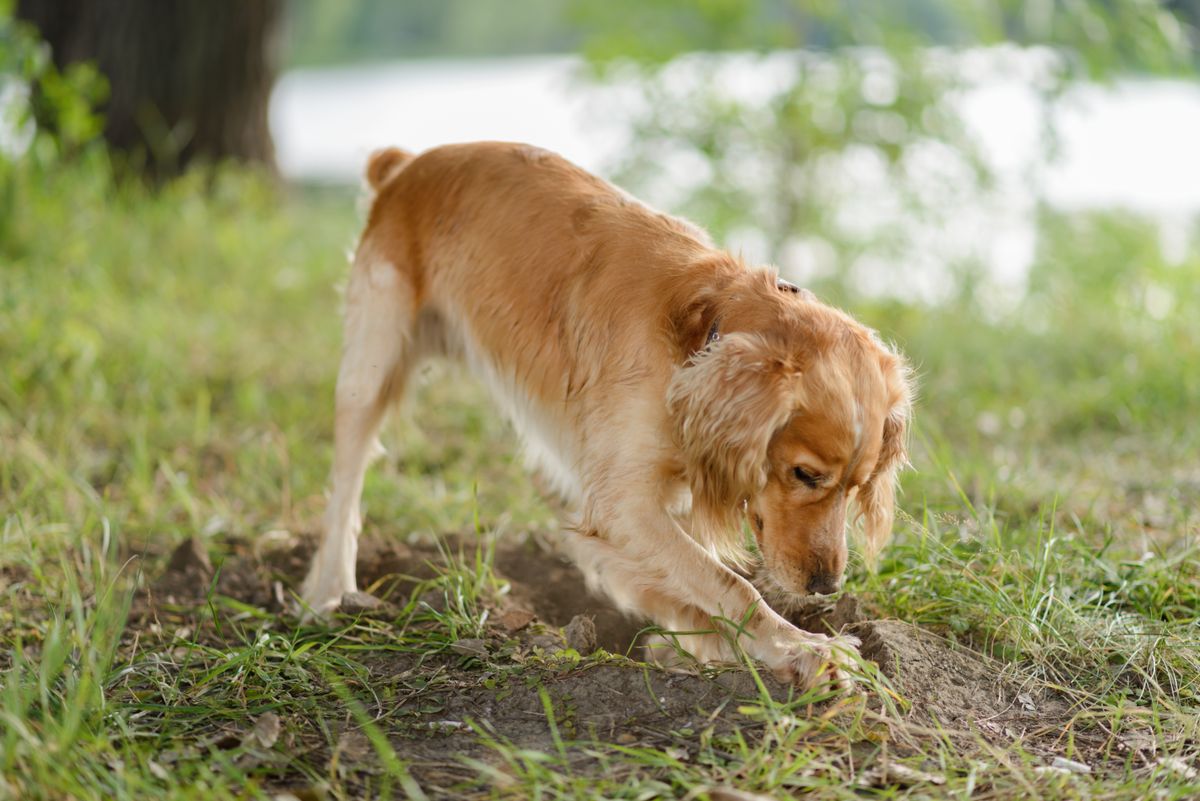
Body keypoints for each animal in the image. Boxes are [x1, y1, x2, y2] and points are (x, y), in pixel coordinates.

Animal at [304, 139, 912, 690]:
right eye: (805, 474)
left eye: (857, 487)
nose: (828, 587)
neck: (700, 333)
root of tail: (406, 165)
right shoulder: (626, 503)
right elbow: (729, 583)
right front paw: (802, 648)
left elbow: (691, 579)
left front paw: (704, 643)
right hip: (370, 368)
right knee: (346, 488)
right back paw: (329, 591)